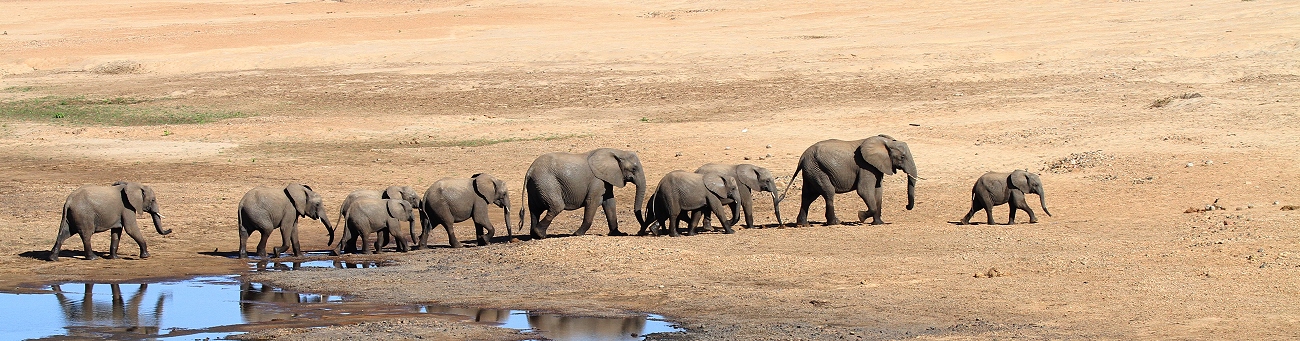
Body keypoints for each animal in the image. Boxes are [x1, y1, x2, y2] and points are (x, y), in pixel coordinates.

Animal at [514, 147, 642, 238]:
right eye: (634, 169)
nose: (639, 232)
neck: (617, 152)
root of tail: (529, 171)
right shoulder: (597, 181)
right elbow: (592, 202)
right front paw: (577, 234)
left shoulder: (605, 179)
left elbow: (610, 203)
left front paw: (618, 234)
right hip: (546, 183)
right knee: (556, 206)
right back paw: (541, 234)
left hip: (536, 185)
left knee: (535, 210)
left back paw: (535, 235)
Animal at [785, 134, 920, 226]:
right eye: (902, 157)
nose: (907, 206)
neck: (884, 142)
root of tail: (802, 157)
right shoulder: (865, 166)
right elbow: (864, 191)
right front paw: (861, 217)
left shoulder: (876, 167)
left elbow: (878, 192)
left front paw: (878, 223)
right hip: (817, 170)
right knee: (828, 193)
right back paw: (835, 222)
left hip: (811, 171)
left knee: (808, 197)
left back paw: (803, 224)